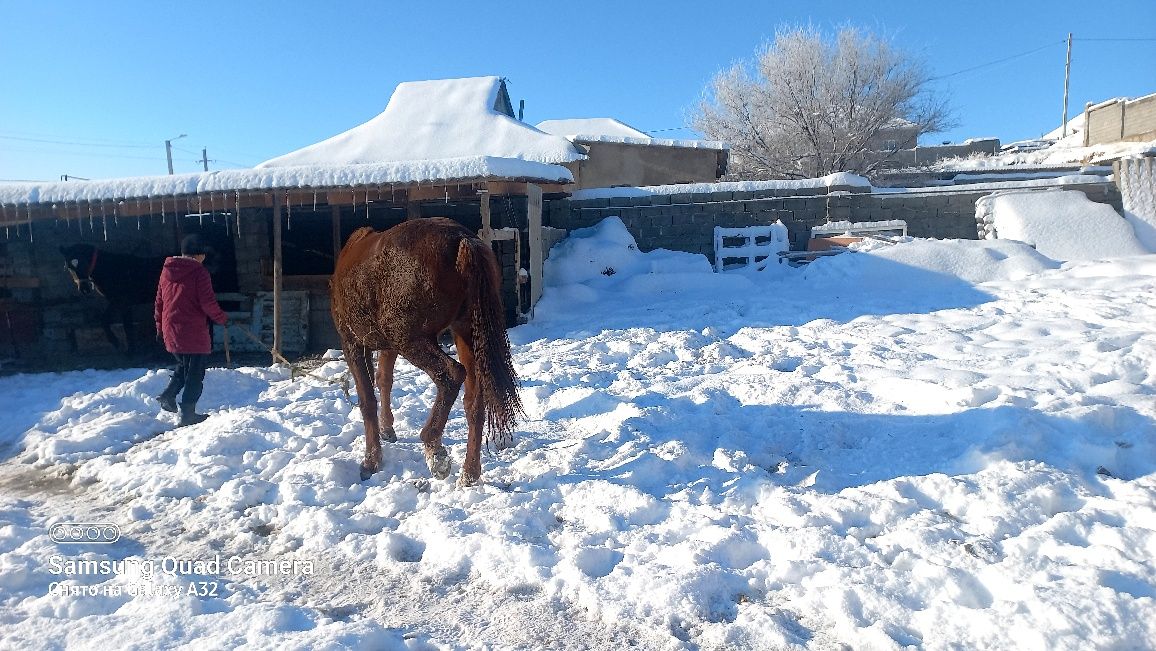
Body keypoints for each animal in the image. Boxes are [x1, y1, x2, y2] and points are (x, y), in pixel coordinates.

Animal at [328, 218, 522, 490]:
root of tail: (462, 239)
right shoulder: (387, 346)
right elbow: (384, 380)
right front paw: (387, 429)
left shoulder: (354, 344)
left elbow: (367, 400)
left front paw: (371, 461)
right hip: (464, 333)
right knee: (474, 403)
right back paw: (469, 473)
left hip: (411, 340)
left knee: (451, 375)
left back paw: (434, 448)